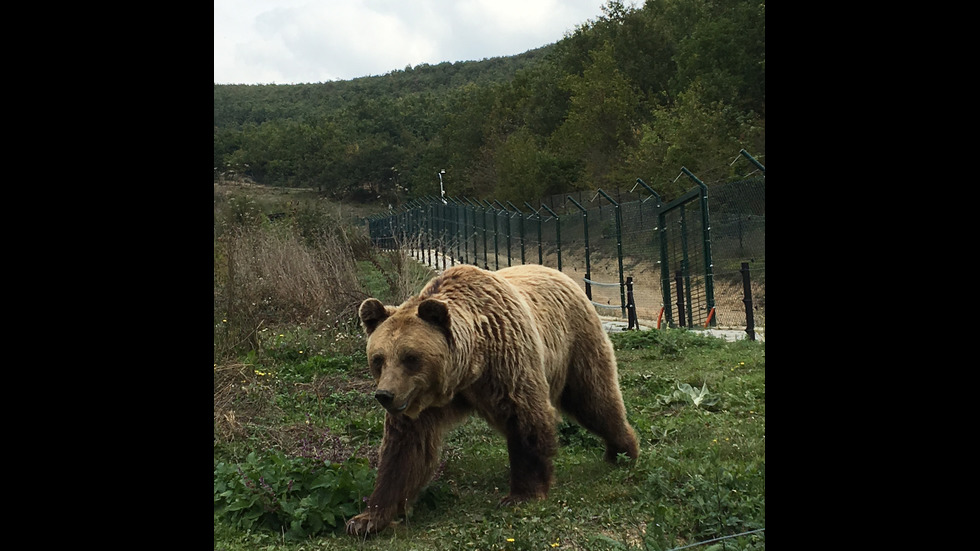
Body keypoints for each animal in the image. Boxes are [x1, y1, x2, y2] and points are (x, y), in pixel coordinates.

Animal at [348, 266, 640, 536]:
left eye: (410, 357)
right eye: (378, 358)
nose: (385, 395)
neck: (469, 368)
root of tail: (561, 275)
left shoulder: (507, 362)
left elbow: (526, 419)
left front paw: (521, 495)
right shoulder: (421, 404)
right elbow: (405, 450)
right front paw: (367, 519)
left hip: (575, 344)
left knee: (595, 399)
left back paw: (622, 451)